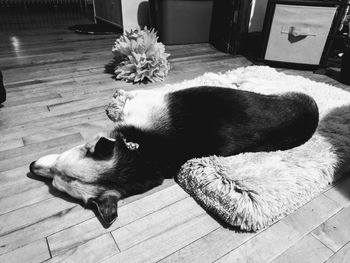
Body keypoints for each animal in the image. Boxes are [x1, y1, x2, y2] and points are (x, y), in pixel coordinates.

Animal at [30, 86, 320, 227]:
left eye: (56, 169)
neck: (142, 152)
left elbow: (134, 95)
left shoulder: (145, 102)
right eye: (53, 180)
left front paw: (120, 95)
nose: (31, 166)